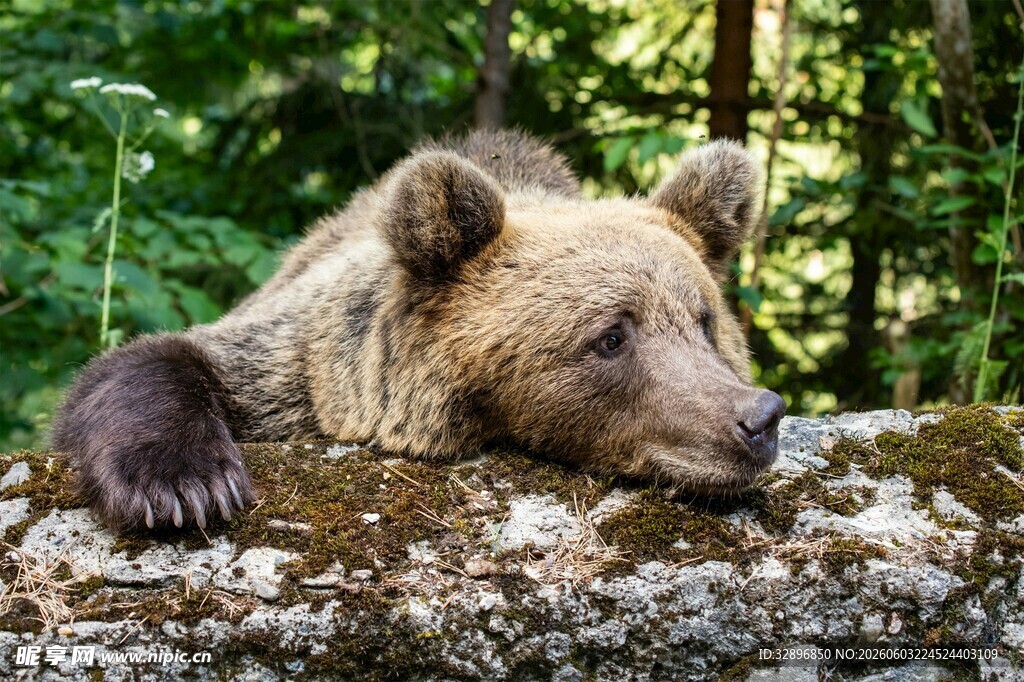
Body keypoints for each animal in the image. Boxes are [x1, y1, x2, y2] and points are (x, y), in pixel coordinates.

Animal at [53, 129, 786, 531]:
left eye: (703, 323)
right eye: (612, 335)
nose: (757, 418)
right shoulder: (303, 370)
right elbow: (158, 361)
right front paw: (185, 485)